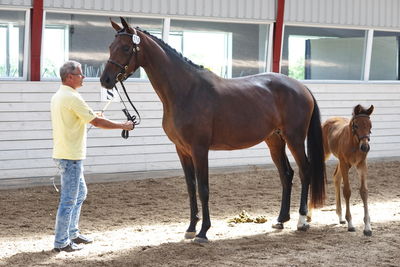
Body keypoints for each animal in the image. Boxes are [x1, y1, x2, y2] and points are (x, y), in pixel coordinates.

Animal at [99, 16, 324, 243]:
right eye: (110, 46)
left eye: (126, 47)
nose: (105, 80)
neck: (186, 91)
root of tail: (301, 87)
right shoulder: (182, 150)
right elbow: (191, 188)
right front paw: (190, 228)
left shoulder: (199, 149)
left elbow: (203, 188)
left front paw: (203, 232)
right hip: (275, 140)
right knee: (286, 174)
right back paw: (280, 220)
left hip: (294, 137)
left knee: (305, 170)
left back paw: (302, 221)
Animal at [308, 104, 374, 237]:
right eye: (356, 125)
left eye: (370, 126)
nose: (365, 147)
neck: (354, 144)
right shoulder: (345, 164)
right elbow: (347, 191)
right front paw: (351, 224)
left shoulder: (361, 165)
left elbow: (364, 191)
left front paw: (367, 227)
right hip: (325, 155)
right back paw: (309, 215)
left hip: (340, 160)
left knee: (336, 177)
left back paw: (340, 216)